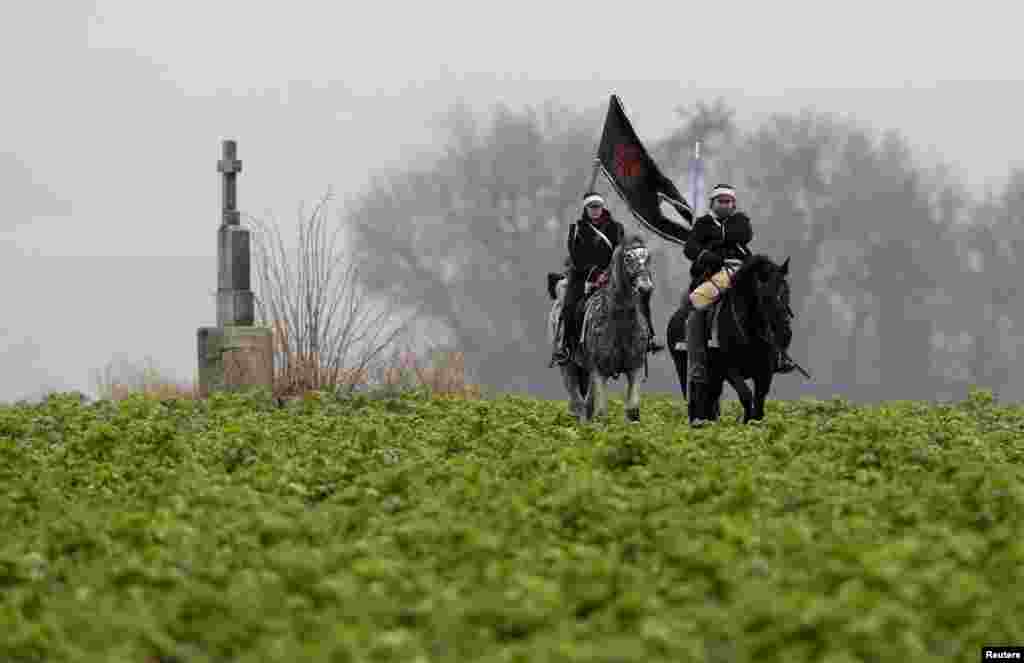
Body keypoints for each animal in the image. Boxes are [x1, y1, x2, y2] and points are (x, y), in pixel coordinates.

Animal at [667, 254, 794, 426]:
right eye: (766, 296)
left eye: (787, 291)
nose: (785, 331)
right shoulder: (729, 370)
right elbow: (746, 395)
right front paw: (746, 422)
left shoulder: (765, 372)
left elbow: (759, 404)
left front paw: (754, 423)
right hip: (684, 368)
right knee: (694, 397)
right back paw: (698, 422)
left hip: (714, 377)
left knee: (710, 399)